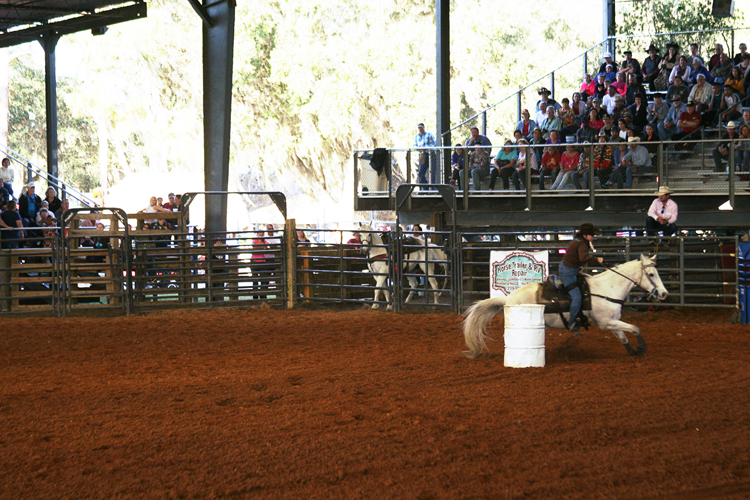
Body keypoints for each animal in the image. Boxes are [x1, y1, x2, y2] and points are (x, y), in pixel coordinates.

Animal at [464, 256, 668, 358]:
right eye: (651, 274)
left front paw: (633, 351)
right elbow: (635, 328)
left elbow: (624, 336)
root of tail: (509, 298)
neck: (607, 288)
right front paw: (642, 348)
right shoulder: (606, 322)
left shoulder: (612, 321)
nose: (664, 294)